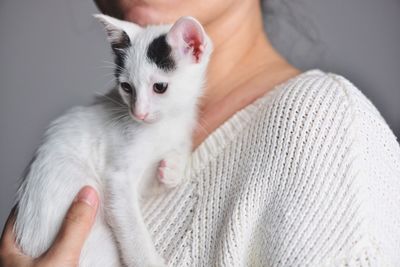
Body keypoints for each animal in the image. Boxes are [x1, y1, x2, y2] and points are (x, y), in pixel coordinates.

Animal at [12, 15, 212, 267]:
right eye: (126, 87)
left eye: (159, 87)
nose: (138, 113)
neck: (164, 125)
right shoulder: (118, 177)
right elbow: (130, 221)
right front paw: (148, 260)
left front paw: (173, 168)